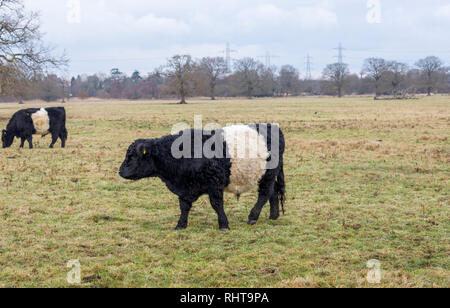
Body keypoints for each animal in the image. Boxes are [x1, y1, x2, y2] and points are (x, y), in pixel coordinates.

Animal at [119, 124, 286, 230]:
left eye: (132, 156)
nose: (120, 171)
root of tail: (272, 126)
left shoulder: (214, 183)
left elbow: (216, 204)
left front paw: (223, 225)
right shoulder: (185, 188)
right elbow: (184, 206)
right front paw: (180, 225)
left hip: (269, 174)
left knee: (264, 193)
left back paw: (252, 217)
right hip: (266, 175)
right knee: (273, 192)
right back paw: (273, 216)